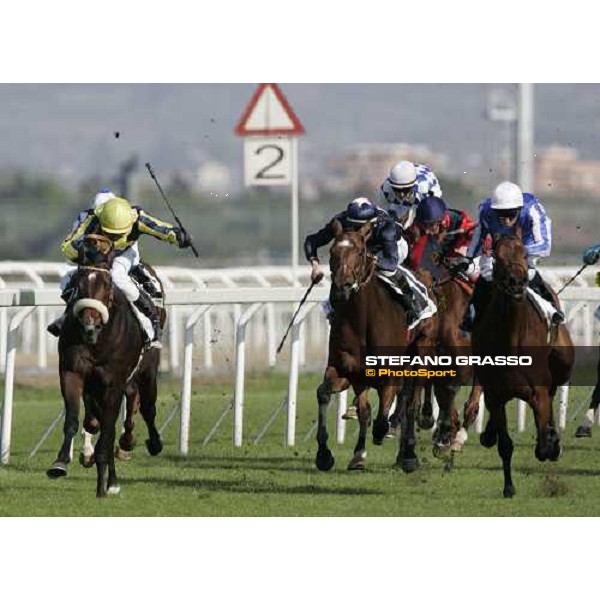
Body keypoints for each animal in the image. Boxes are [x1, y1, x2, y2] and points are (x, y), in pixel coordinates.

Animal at [46, 234, 163, 496]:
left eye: (108, 284)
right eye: (77, 283)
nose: (90, 326)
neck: (97, 341)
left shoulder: (113, 383)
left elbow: (108, 433)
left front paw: (103, 486)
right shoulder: (73, 373)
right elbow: (74, 420)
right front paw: (60, 463)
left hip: (147, 372)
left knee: (147, 409)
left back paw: (150, 444)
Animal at [314, 220, 432, 474]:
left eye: (360, 252)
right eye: (332, 252)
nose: (341, 288)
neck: (362, 319)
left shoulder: (389, 374)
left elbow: (383, 417)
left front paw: (388, 434)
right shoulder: (346, 369)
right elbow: (326, 394)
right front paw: (325, 454)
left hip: (422, 349)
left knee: (411, 402)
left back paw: (408, 454)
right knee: (369, 409)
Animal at [474, 234, 572, 496]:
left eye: (525, 253)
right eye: (497, 256)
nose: (517, 282)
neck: (511, 341)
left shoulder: (538, 391)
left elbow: (543, 442)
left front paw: (552, 442)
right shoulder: (495, 395)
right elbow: (505, 445)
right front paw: (509, 487)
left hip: (563, 360)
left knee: (554, 390)